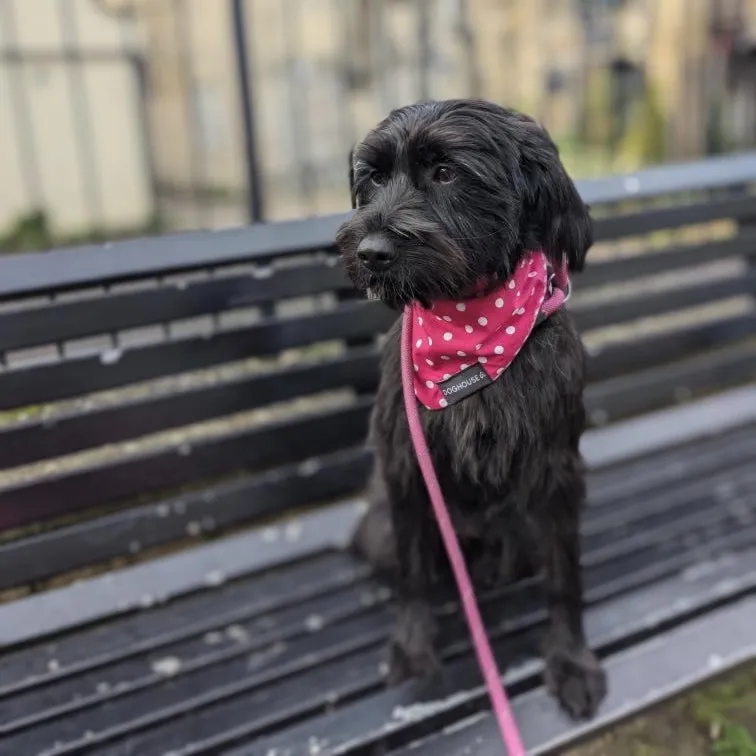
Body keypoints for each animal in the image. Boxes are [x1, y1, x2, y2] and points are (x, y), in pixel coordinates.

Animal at [336, 100, 608, 720]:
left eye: (445, 173)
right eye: (374, 178)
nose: (370, 254)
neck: (469, 329)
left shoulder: (556, 472)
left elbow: (565, 576)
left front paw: (571, 659)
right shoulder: (407, 467)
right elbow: (414, 574)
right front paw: (414, 651)